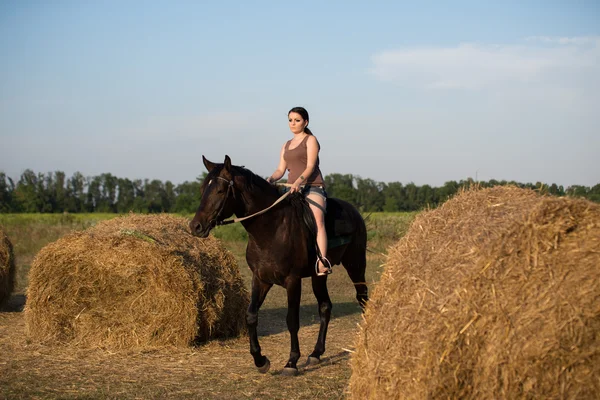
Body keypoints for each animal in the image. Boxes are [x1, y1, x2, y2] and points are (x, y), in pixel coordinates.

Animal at [188, 154, 368, 376]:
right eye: (203, 189)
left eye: (220, 190)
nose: (195, 226)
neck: (271, 228)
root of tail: (355, 211)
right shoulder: (261, 279)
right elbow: (250, 316)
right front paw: (260, 360)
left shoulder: (293, 281)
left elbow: (292, 320)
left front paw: (291, 362)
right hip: (319, 275)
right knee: (325, 307)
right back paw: (315, 354)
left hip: (356, 264)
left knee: (362, 298)